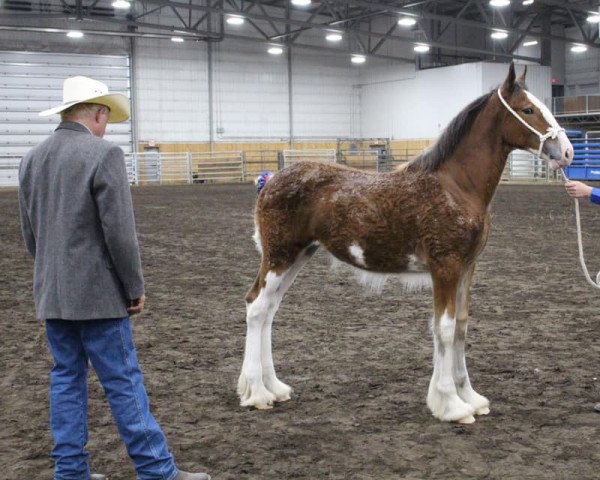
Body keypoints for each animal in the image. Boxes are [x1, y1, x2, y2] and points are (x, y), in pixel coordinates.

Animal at [237, 63, 576, 424]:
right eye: (528, 110)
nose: (567, 152)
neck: (457, 186)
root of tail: (271, 181)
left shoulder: (467, 268)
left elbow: (460, 326)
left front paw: (470, 397)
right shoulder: (445, 267)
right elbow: (444, 328)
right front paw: (452, 405)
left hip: (299, 255)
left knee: (269, 310)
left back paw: (274, 388)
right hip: (279, 256)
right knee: (257, 307)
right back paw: (257, 393)